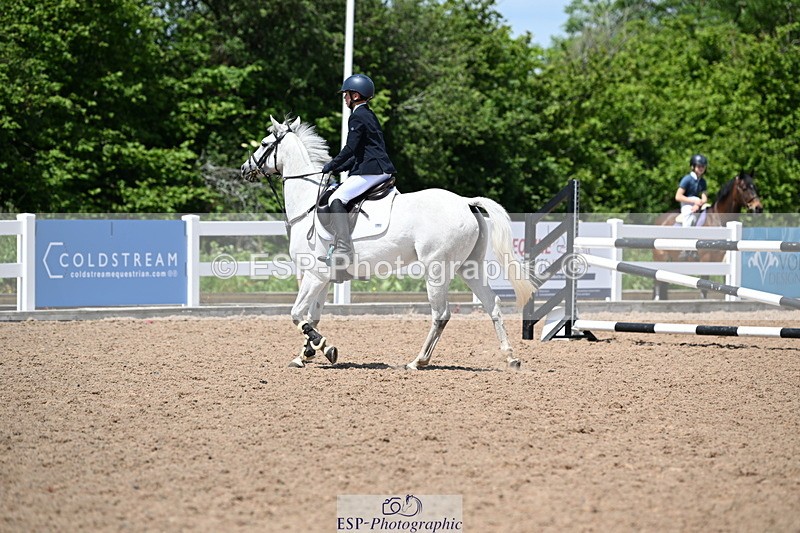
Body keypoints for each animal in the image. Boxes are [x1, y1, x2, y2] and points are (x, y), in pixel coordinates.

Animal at [240, 116, 535, 370]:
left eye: (264, 143)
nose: (245, 169)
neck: (308, 203)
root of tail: (466, 202)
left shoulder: (314, 274)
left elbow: (296, 314)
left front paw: (325, 348)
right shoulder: (323, 278)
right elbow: (311, 316)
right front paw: (306, 354)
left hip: (437, 269)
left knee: (441, 313)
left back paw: (418, 361)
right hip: (468, 267)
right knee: (491, 304)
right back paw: (511, 358)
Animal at [652, 171, 763, 300]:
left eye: (755, 187)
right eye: (744, 188)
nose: (758, 208)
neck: (719, 219)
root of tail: (659, 220)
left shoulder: (723, 260)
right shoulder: (706, 258)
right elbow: (704, 286)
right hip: (660, 257)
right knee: (657, 284)